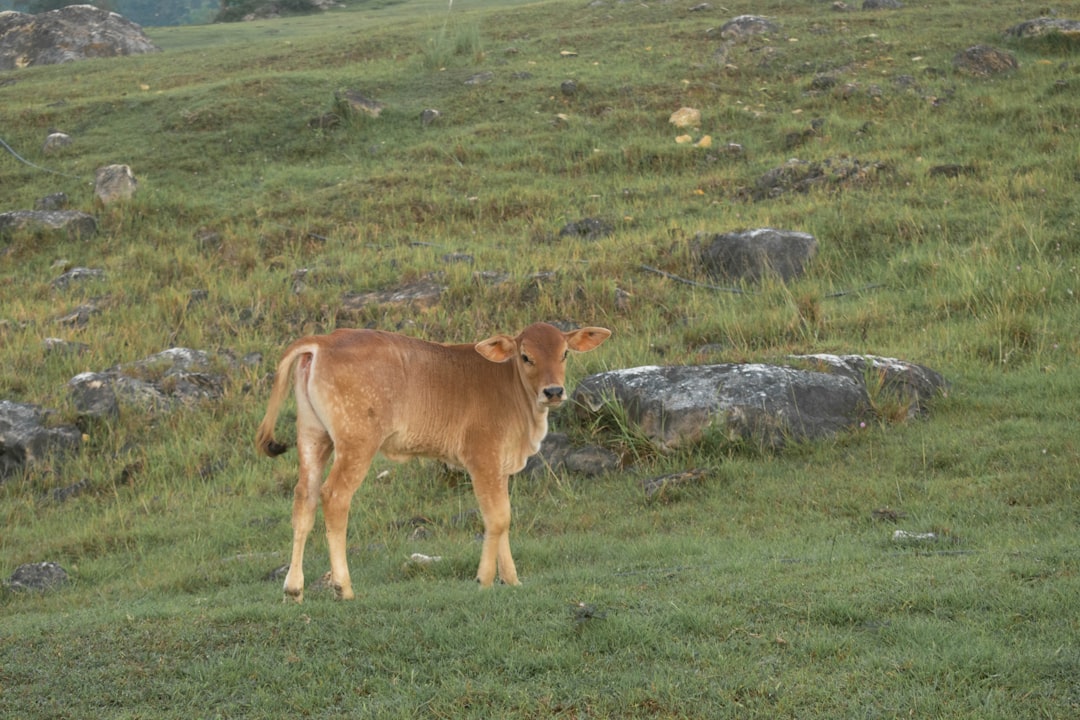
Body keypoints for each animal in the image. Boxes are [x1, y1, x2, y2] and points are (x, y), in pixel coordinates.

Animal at [251, 321, 609, 604]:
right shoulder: (483, 459)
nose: (554, 391)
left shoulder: (501, 468)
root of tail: (325, 340)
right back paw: (344, 587)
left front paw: (512, 579)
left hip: (313, 436)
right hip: (357, 443)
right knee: (335, 497)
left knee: (304, 499)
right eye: (526, 356)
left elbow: (504, 519)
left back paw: (294, 589)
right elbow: (496, 518)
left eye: (564, 353)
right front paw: (485, 579)